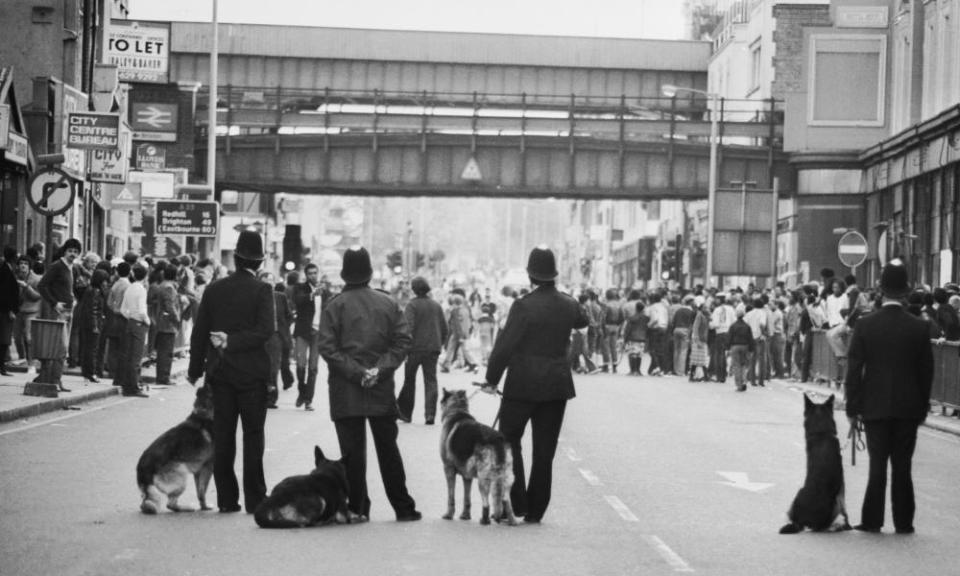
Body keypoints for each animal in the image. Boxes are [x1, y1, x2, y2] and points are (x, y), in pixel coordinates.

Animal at [136, 384, 215, 516]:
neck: (202, 413)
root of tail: (142, 468)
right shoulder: (208, 467)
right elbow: (202, 491)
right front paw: (205, 507)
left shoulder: (198, 471)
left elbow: (199, 492)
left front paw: (203, 506)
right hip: (181, 474)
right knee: (170, 504)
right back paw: (187, 508)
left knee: (145, 504)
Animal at [442, 388, 516, 528]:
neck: (457, 409)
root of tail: (497, 439)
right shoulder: (467, 476)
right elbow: (467, 498)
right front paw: (465, 515)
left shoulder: (448, 469)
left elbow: (450, 496)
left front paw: (449, 514)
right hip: (507, 477)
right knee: (506, 500)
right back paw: (511, 520)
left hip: (483, 478)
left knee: (486, 503)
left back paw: (485, 520)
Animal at [780, 394, 856, 532]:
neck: (822, 434)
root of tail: (802, 523)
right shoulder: (841, 487)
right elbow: (845, 507)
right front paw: (847, 523)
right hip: (834, 504)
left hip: (797, 494)